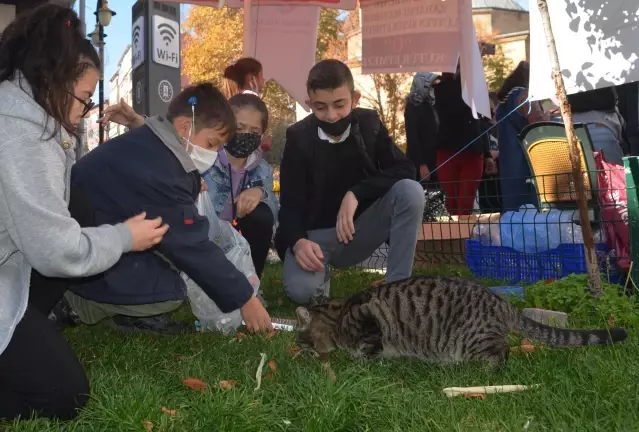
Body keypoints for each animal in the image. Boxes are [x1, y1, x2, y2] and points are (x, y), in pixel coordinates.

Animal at [296, 276, 632, 364]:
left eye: (301, 338)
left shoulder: (369, 326)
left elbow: (366, 351)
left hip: (473, 339)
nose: (299, 349)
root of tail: (501, 301)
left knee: (501, 352)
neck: (339, 315)